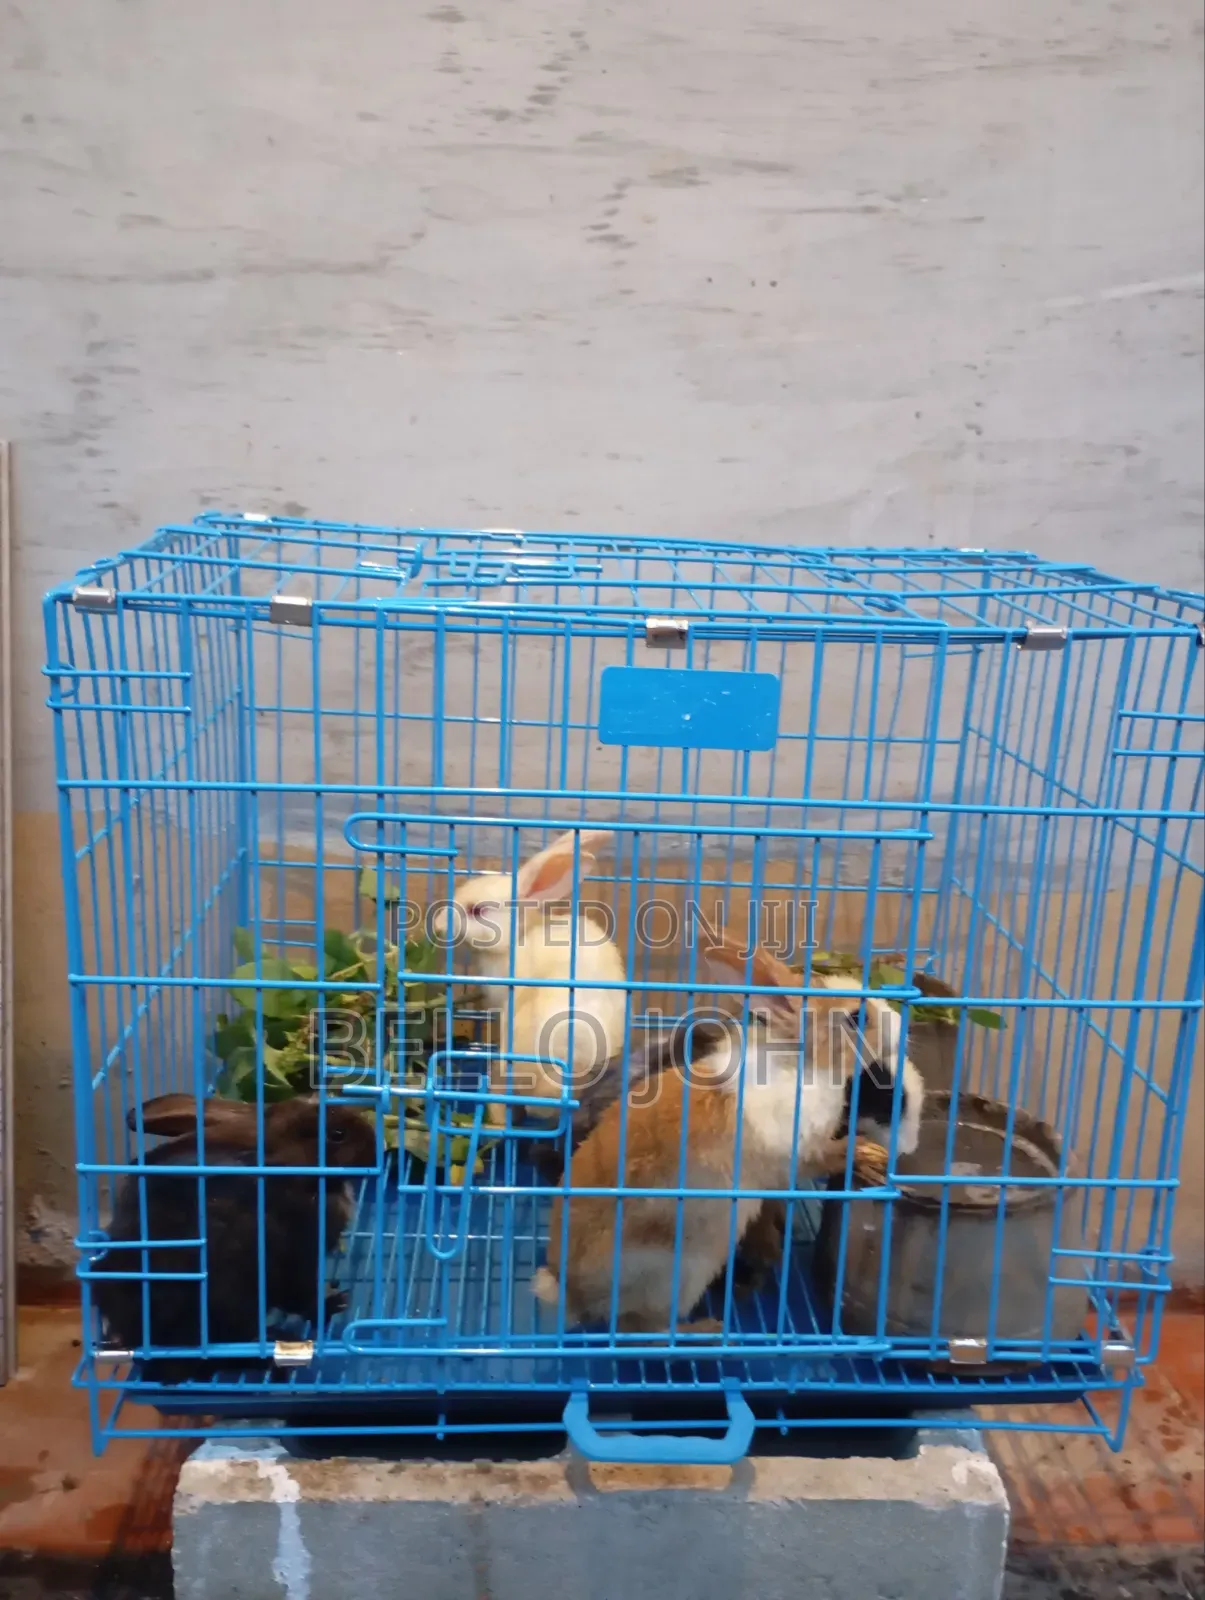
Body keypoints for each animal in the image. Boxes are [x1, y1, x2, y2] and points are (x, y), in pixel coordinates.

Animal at [533, 938, 924, 1335]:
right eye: (857, 1018)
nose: (898, 1022)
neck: (804, 1063)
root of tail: (571, 1292)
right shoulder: (797, 1157)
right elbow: (831, 1155)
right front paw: (868, 1154)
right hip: (677, 1276)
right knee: (644, 1332)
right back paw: (709, 1331)